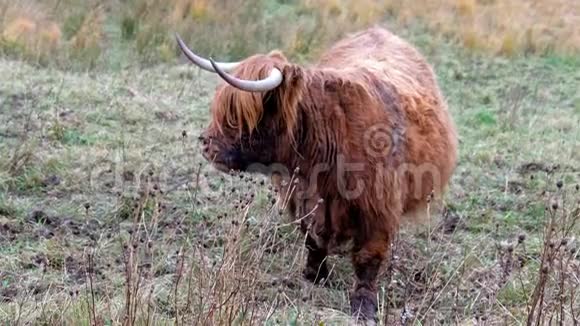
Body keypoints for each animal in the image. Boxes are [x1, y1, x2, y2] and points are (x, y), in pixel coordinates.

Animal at [177, 26, 458, 322]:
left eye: (239, 116)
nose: (207, 145)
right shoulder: (301, 196)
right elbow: (311, 238)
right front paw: (315, 275)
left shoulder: (378, 208)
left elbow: (368, 257)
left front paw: (364, 306)